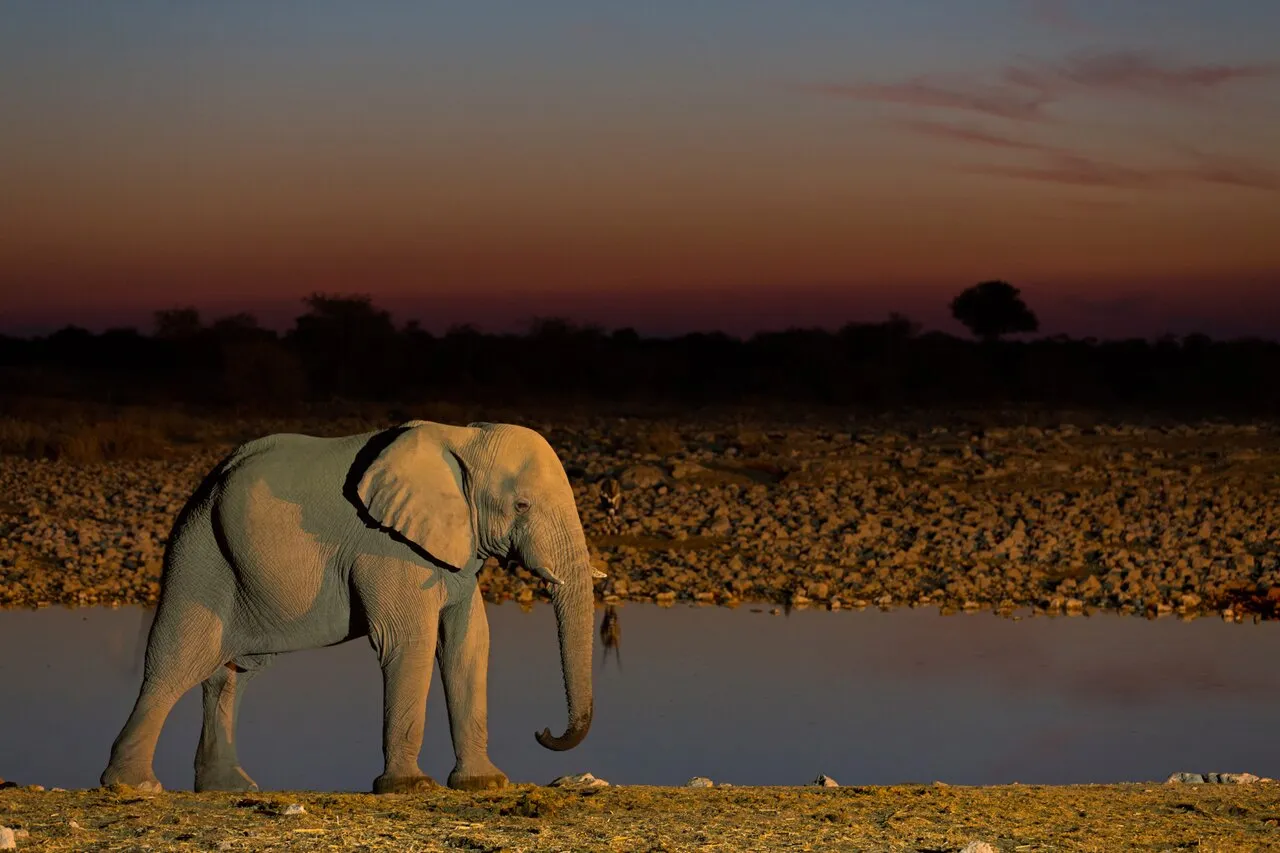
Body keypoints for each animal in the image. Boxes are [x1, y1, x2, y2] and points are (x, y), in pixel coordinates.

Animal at [97, 417, 601, 788]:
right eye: (522, 506)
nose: (542, 731)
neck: (462, 437)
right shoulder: (386, 545)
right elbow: (409, 641)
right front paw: (409, 788)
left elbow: (469, 644)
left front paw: (484, 784)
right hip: (198, 549)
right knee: (180, 660)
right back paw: (133, 786)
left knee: (231, 672)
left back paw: (228, 788)